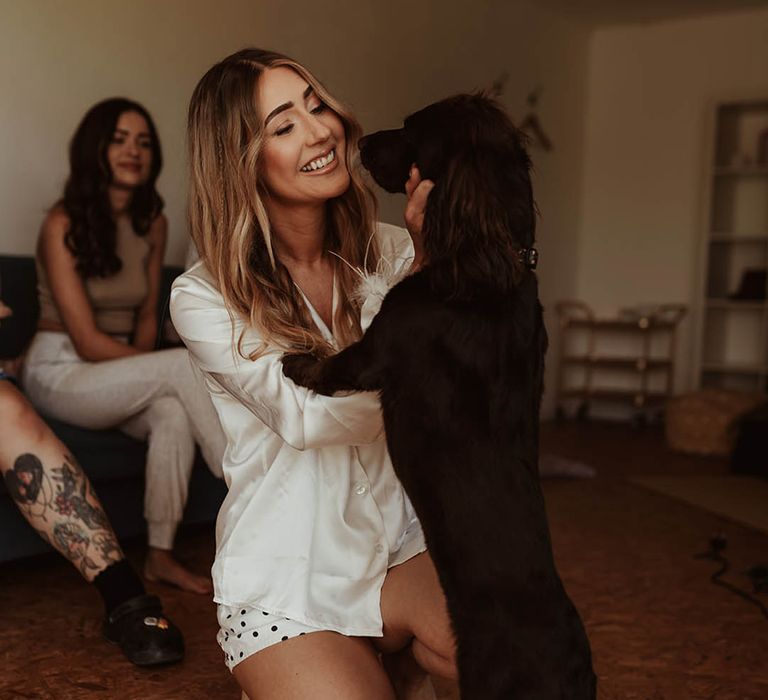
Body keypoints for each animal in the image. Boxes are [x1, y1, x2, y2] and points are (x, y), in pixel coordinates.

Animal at [284, 94, 596, 700]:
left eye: (412, 130)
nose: (357, 142)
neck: (488, 262)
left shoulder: (375, 350)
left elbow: (332, 363)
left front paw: (296, 359)